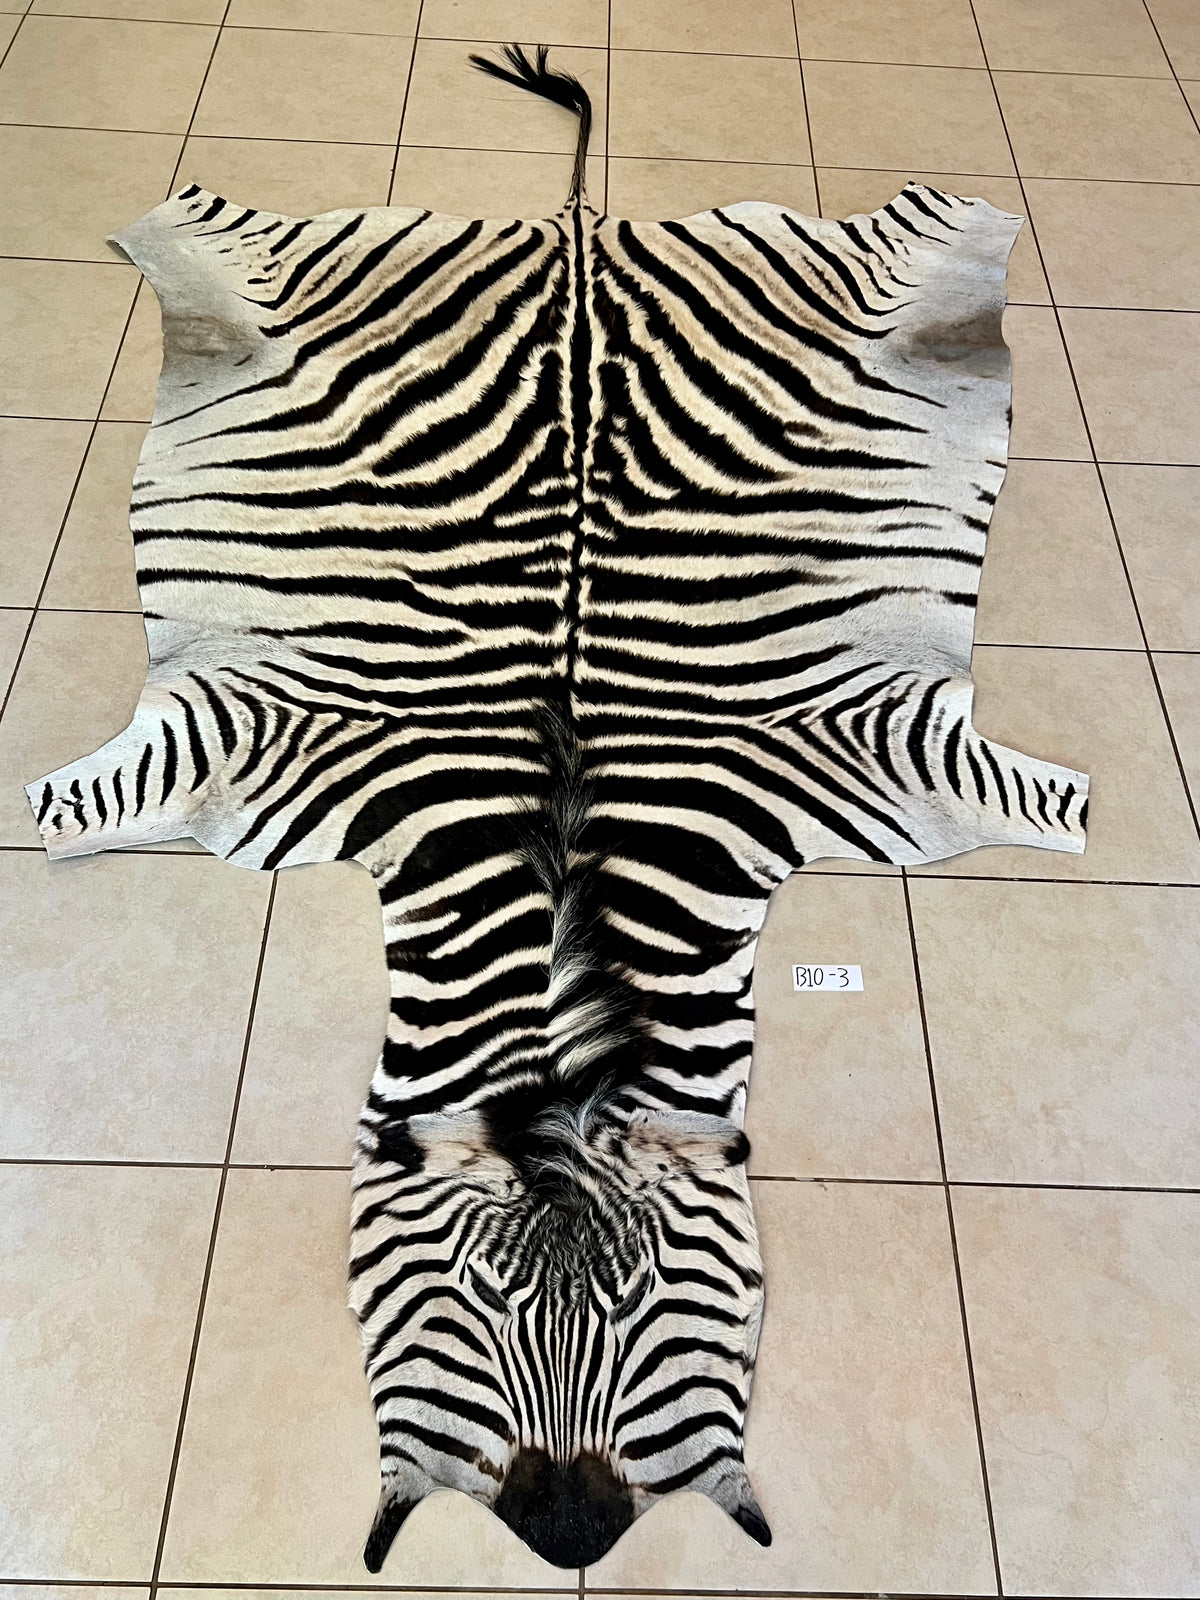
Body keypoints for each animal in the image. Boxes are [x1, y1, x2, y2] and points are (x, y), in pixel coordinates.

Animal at [26, 45, 1088, 1570]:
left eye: (659, 1306)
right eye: (475, 1300)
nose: (571, 1523)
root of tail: (578, 237)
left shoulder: (884, 750)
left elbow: (1040, 799)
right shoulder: (244, 738)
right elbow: (89, 796)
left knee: (935, 230)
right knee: (207, 227)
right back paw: (170, 235)